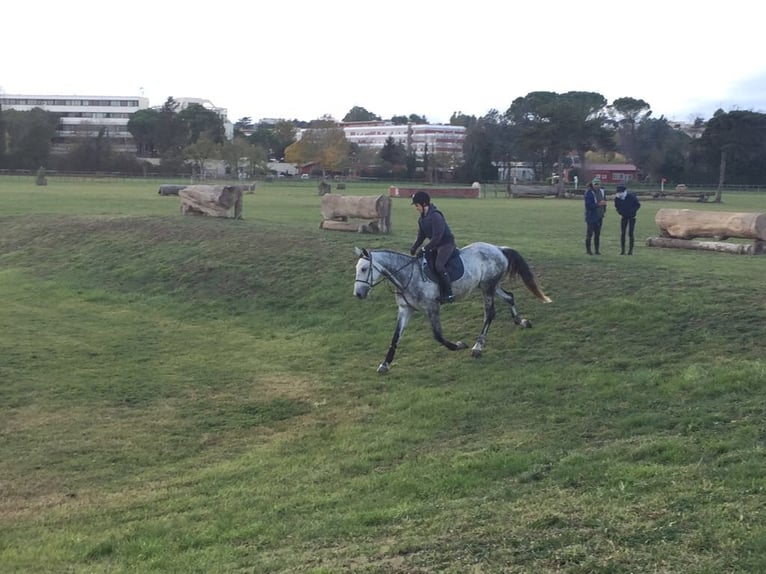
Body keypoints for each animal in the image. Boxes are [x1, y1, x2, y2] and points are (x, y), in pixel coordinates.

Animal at [354, 242, 552, 374]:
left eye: (364, 269)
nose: (358, 294)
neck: (408, 275)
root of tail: (498, 249)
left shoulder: (432, 307)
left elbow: (438, 336)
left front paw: (458, 345)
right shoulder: (405, 310)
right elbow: (395, 337)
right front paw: (385, 364)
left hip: (488, 287)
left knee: (490, 313)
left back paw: (477, 347)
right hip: (489, 286)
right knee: (510, 297)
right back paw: (522, 322)